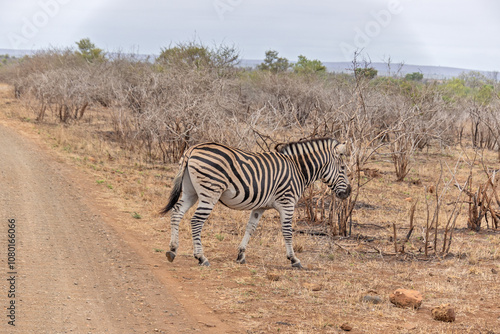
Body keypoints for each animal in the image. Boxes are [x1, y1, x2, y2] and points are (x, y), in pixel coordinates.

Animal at [160, 138, 352, 268]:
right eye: (343, 169)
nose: (348, 192)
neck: (298, 169)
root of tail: (192, 149)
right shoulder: (287, 203)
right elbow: (287, 231)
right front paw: (294, 259)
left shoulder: (260, 207)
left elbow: (250, 228)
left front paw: (241, 255)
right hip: (210, 191)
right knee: (196, 221)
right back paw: (201, 257)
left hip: (190, 191)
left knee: (176, 212)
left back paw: (172, 250)